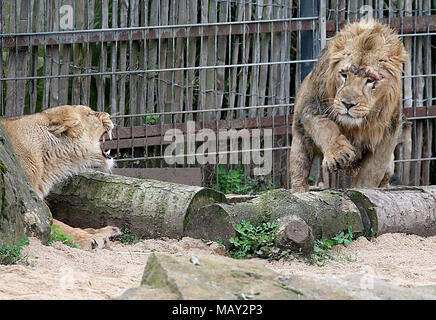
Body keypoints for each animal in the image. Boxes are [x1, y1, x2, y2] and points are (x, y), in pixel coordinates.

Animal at [0, 105, 121, 250]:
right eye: (90, 113)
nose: (109, 115)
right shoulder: (30, 207)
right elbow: (56, 225)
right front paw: (90, 239)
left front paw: (104, 231)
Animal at [290, 20, 408, 192]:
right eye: (344, 75)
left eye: (370, 80)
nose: (347, 104)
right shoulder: (310, 108)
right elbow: (325, 127)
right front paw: (338, 154)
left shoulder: (387, 135)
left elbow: (370, 172)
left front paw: (363, 190)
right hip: (299, 143)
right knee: (299, 170)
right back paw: (300, 191)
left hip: (389, 167)